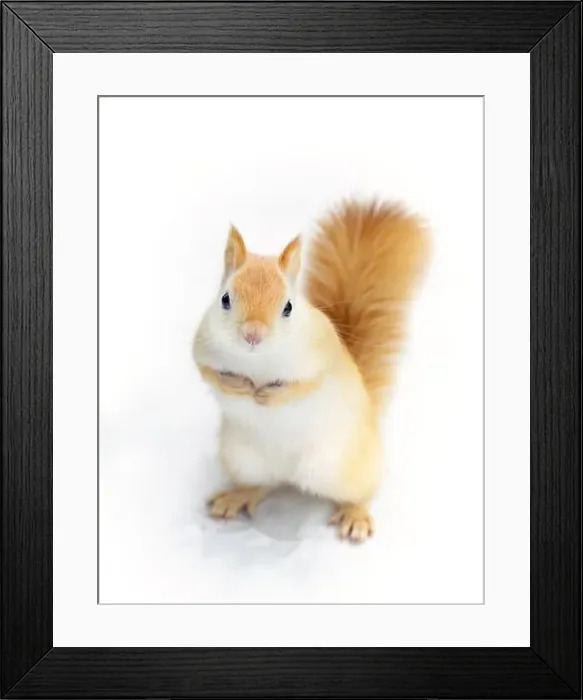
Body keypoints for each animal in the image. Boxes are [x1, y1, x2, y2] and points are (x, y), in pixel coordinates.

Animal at [193, 199, 429, 542]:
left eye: (288, 307)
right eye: (225, 299)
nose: (253, 334)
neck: (257, 361)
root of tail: (290, 473)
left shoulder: (321, 358)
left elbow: (304, 385)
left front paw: (268, 396)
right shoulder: (202, 347)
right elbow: (208, 372)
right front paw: (239, 387)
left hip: (345, 468)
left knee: (362, 492)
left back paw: (356, 516)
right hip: (243, 460)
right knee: (261, 484)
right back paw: (236, 497)